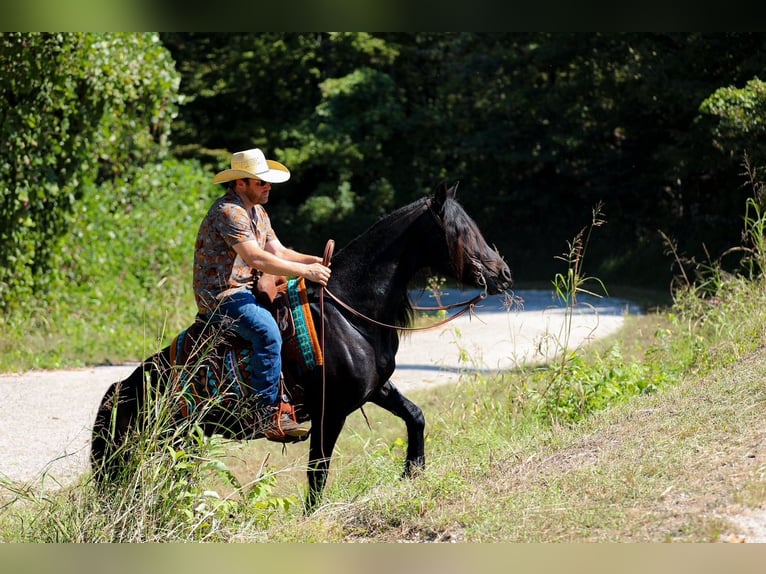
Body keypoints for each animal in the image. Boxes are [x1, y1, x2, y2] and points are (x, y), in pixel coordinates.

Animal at [90, 180, 512, 510]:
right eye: (459, 232)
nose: (503, 274)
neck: (350, 313)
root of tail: (121, 389)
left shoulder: (375, 389)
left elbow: (415, 415)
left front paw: (413, 471)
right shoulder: (331, 411)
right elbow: (317, 473)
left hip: (181, 443)